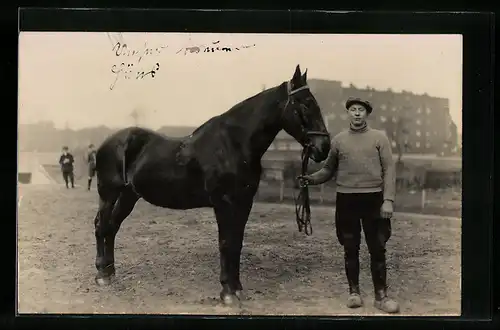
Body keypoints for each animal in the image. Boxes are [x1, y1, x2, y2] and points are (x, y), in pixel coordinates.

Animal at [93, 65, 330, 306]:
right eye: (304, 104)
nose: (324, 147)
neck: (233, 144)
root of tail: (108, 143)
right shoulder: (223, 202)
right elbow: (226, 242)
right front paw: (227, 292)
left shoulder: (244, 202)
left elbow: (237, 243)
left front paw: (237, 288)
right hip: (108, 193)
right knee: (102, 226)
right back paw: (102, 274)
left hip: (129, 195)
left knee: (112, 227)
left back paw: (110, 272)